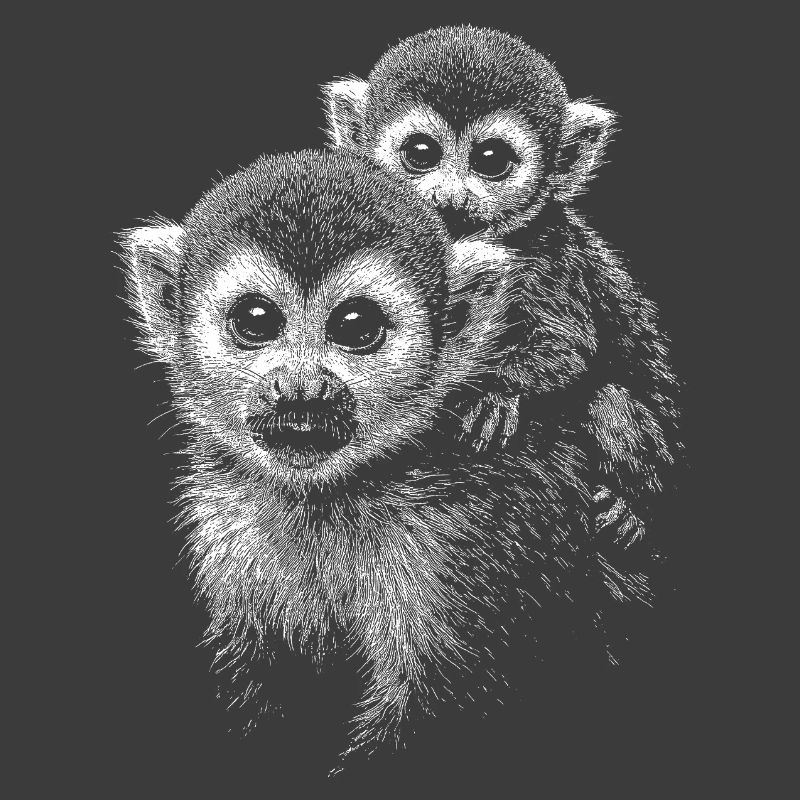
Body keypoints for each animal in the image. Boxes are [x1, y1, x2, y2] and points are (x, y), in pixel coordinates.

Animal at [120, 148, 636, 770]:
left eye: (356, 326)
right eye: (256, 321)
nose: (301, 388)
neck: (331, 497)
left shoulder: (473, 533)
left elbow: (442, 707)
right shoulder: (230, 524)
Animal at [321, 25, 682, 551]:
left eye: (491, 160)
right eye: (421, 154)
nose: (451, 198)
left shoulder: (546, 251)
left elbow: (568, 346)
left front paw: (495, 394)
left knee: (607, 399)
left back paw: (632, 510)